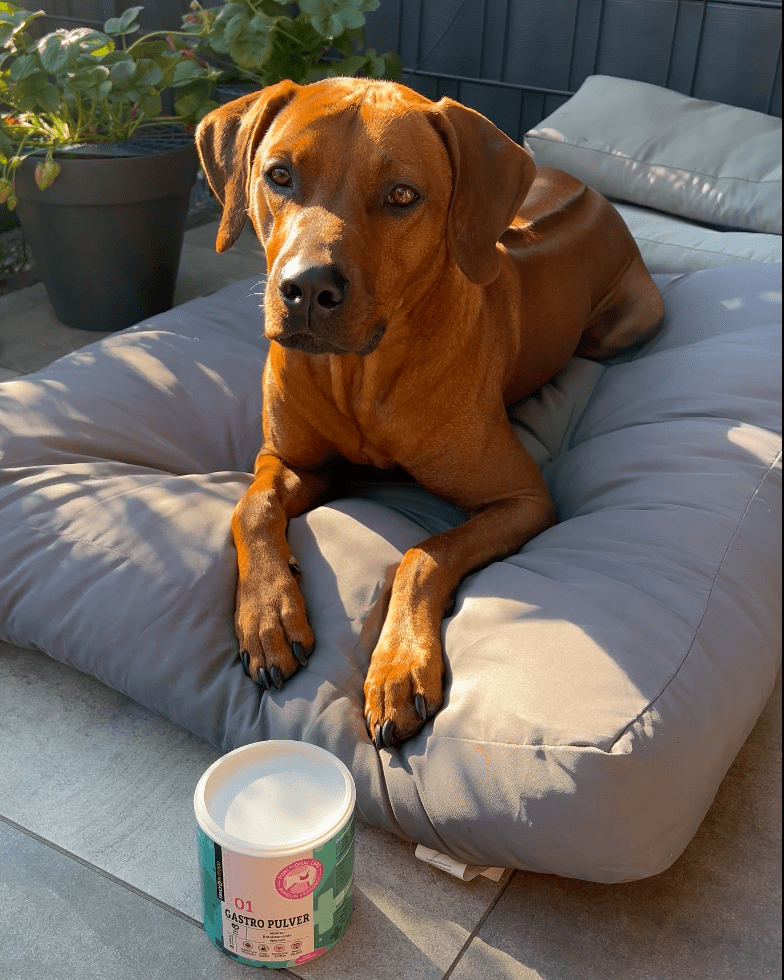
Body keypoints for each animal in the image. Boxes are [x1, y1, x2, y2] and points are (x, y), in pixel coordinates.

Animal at [196, 76, 660, 752]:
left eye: (402, 195)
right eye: (279, 175)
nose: (306, 289)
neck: (359, 374)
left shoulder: (525, 501)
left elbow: (425, 553)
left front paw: (398, 667)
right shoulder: (290, 459)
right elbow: (250, 507)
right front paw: (268, 614)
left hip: (627, 326)